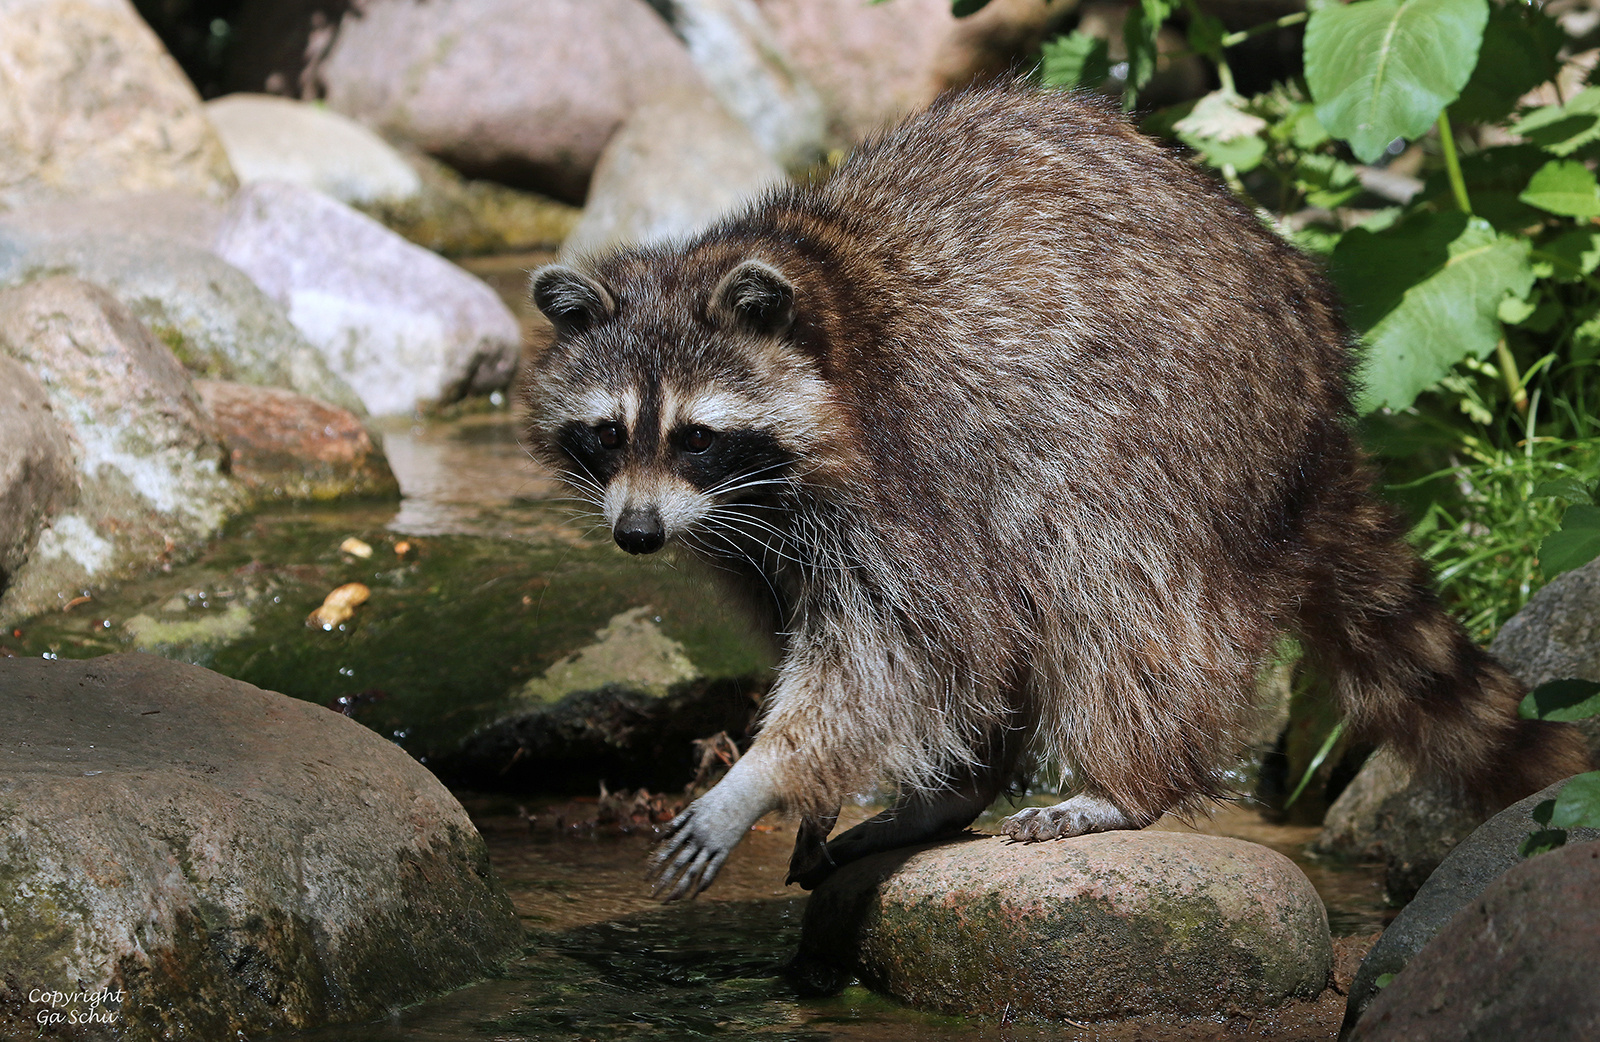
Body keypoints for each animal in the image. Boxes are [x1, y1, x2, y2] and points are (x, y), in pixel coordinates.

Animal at [521, 83, 1587, 902]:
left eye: (696, 437)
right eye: (608, 434)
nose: (637, 534)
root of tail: (1321, 383)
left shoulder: (908, 464)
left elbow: (909, 648)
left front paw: (762, 775)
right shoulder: (754, 532)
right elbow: (842, 635)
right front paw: (819, 787)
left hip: (1180, 423)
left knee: (1116, 585)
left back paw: (1123, 781)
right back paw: (962, 790)